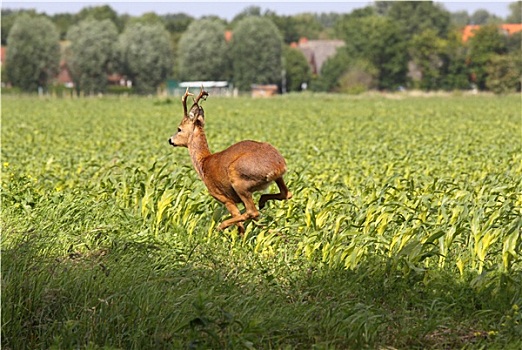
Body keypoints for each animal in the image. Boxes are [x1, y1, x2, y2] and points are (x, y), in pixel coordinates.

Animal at [168, 87, 290, 235]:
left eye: (179, 129)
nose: (170, 140)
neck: (203, 163)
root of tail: (278, 166)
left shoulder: (223, 197)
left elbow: (240, 222)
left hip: (237, 179)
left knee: (252, 212)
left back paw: (221, 226)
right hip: (277, 178)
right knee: (285, 194)